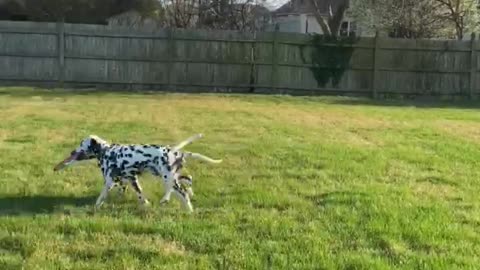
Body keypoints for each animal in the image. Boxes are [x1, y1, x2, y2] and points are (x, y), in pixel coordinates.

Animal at [53, 134, 222, 212]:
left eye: (82, 144)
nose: (72, 152)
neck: (107, 151)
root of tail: (175, 152)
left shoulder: (109, 181)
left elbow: (100, 197)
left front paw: (96, 206)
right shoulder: (128, 180)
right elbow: (139, 195)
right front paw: (145, 204)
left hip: (168, 178)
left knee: (183, 192)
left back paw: (185, 208)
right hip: (170, 177)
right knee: (187, 182)